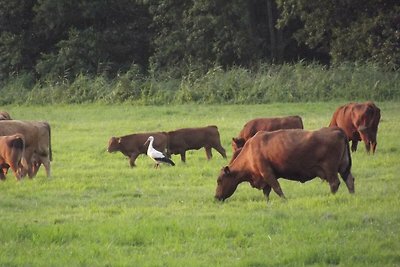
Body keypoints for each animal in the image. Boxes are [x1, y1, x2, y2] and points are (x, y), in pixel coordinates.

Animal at [214, 127, 354, 203]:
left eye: (219, 181)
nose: (216, 197)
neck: (250, 151)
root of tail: (336, 130)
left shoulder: (267, 173)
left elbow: (277, 188)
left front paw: (284, 200)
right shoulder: (264, 177)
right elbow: (266, 192)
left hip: (330, 169)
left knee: (334, 183)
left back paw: (332, 197)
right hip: (344, 167)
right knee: (349, 180)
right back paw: (352, 195)